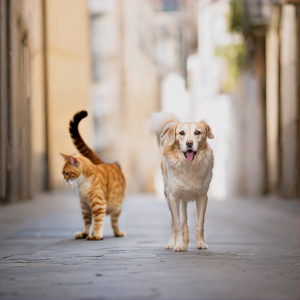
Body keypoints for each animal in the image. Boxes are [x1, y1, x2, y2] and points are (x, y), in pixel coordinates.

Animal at [60, 111, 126, 240]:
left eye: (67, 173)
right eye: (63, 173)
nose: (64, 179)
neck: (82, 185)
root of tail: (104, 163)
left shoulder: (98, 203)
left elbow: (98, 221)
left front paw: (96, 235)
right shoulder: (85, 205)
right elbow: (87, 222)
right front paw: (85, 233)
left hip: (116, 206)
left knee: (114, 221)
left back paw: (118, 232)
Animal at [150, 111, 213, 252]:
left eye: (197, 132)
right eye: (181, 133)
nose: (189, 143)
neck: (189, 166)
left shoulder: (202, 197)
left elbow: (200, 222)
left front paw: (201, 243)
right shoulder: (174, 197)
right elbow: (177, 224)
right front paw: (178, 245)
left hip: (183, 199)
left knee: (185, 219)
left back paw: (186, 242)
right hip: (169, 196)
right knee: (174, 221)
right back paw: (173, 244)